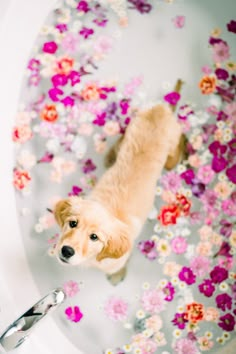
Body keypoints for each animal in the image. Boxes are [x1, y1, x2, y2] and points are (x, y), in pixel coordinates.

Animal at [54, 103, 184, 284]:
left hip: (171, 150)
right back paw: (109, 157)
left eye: (94, 237)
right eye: (73, 223)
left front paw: (117, 275)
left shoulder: (118, 260)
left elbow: (119, 266)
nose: (66, 251)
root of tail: (160, 109)